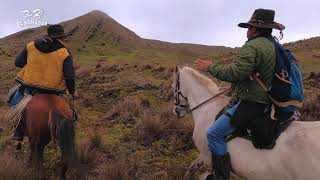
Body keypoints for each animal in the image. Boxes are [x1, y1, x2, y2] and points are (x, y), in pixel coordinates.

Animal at [172, 67, 320, 180]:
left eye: (173, 88)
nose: (176, 111)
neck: (207, 108)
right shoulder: (204, 156)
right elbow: (191, 167)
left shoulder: (207, 156)